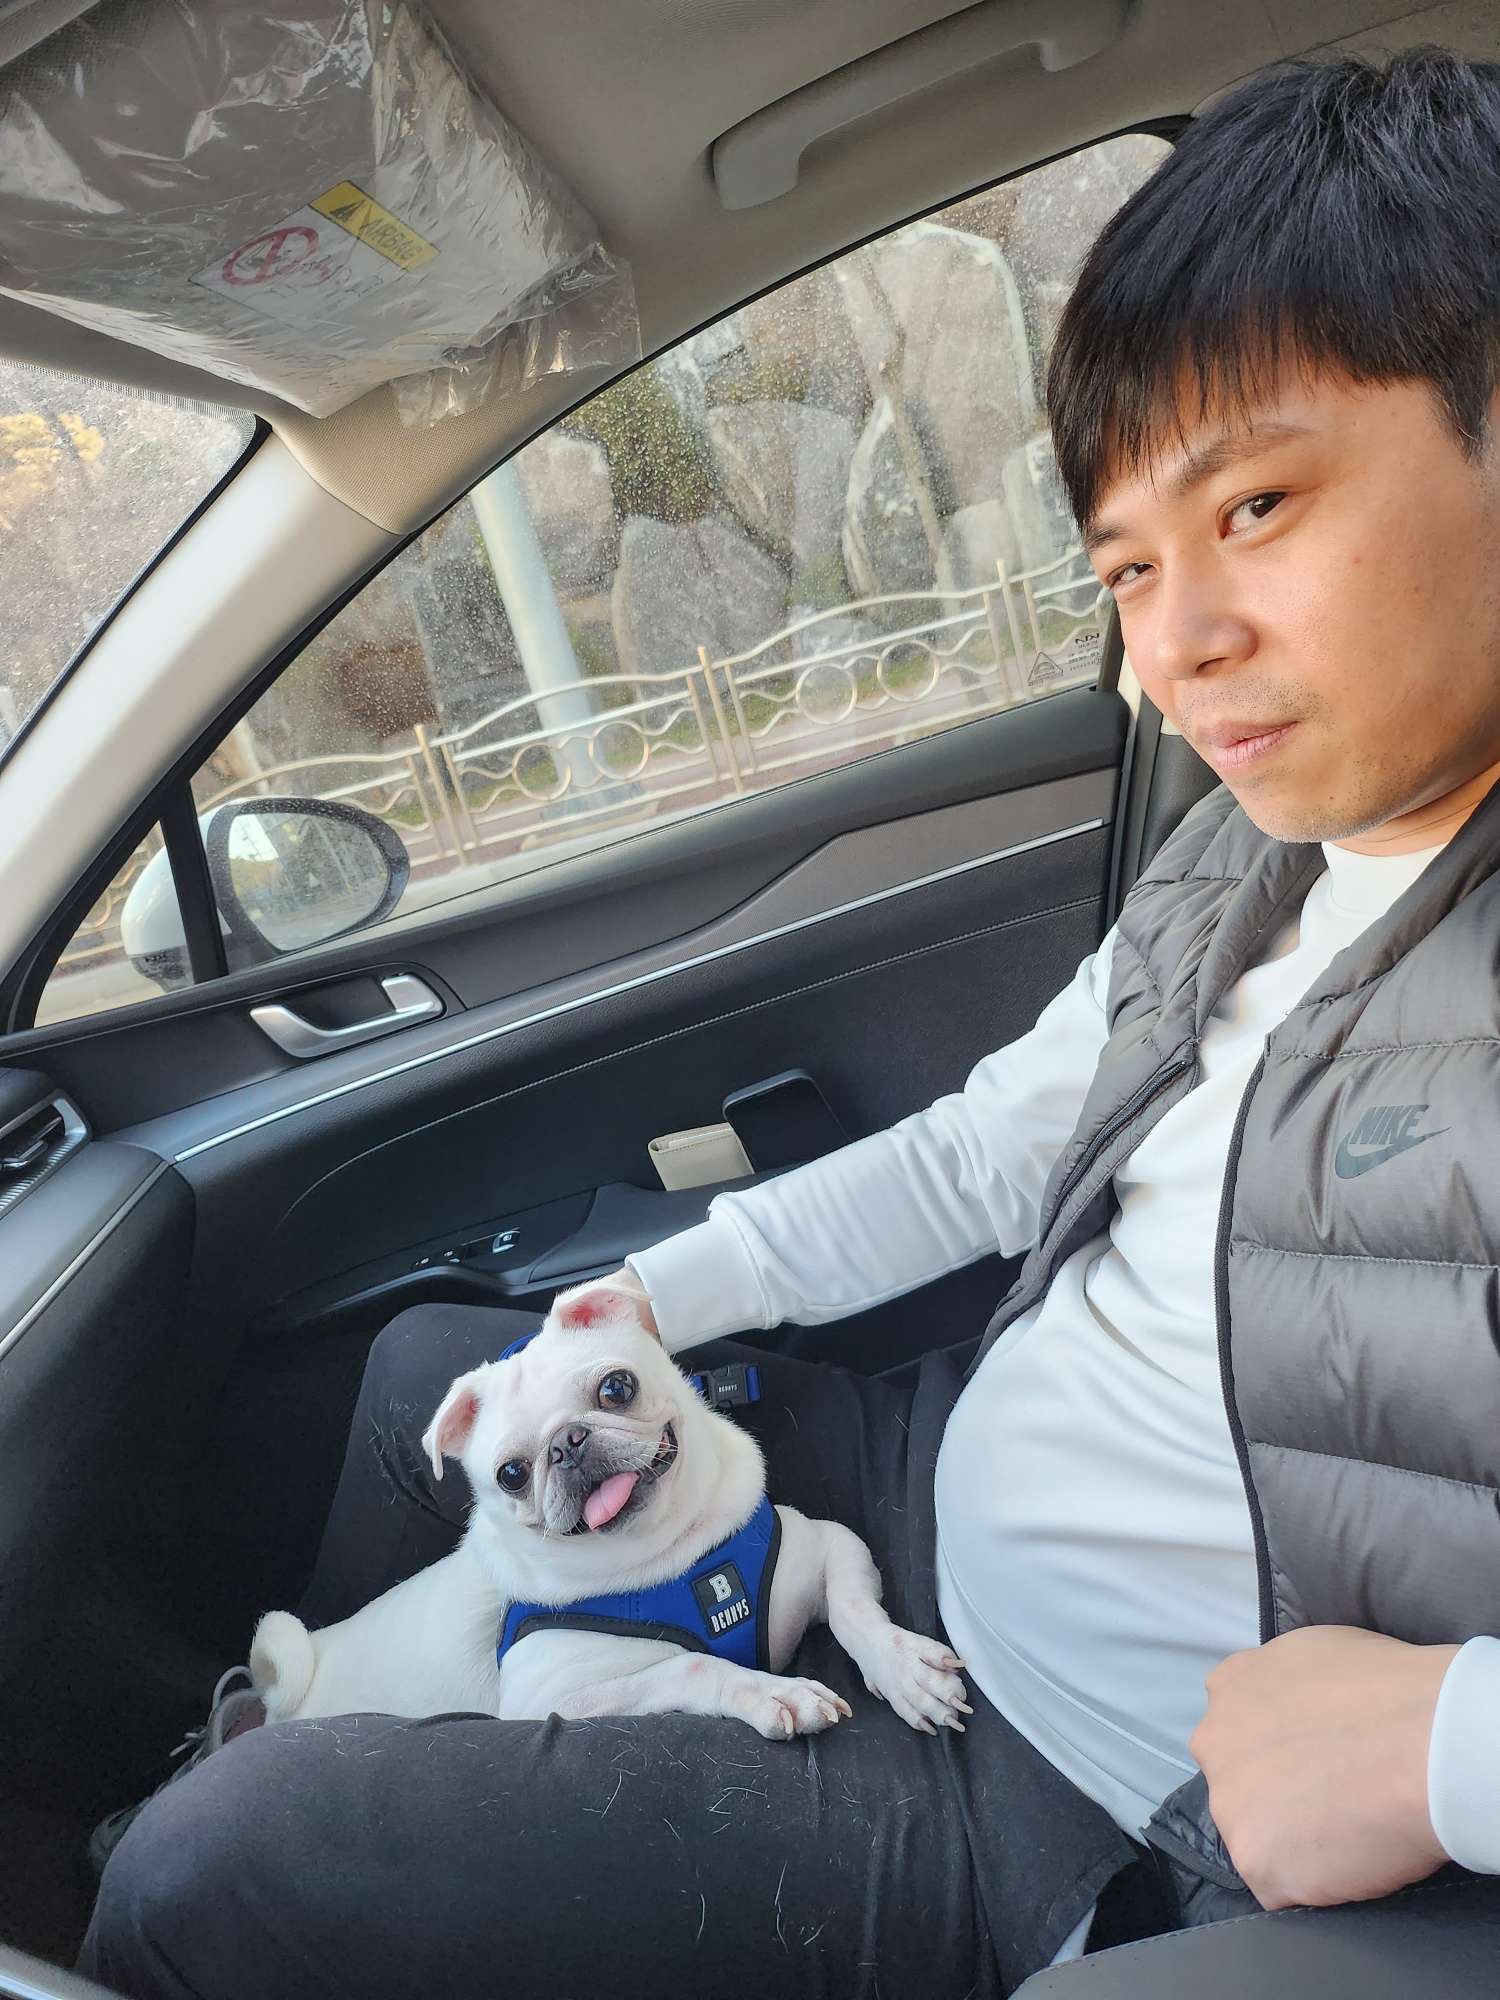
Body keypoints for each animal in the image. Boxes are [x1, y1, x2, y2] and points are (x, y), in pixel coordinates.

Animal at [250, 1280, 970, 1740]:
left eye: (616, 1388)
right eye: (511, 1474)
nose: (567, 1444)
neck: (671, 1553)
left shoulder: (828, 1547)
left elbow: (853, 1611)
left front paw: (905, 1671)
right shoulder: (557, 1697)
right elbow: (692, 1664)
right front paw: (774, 1692)